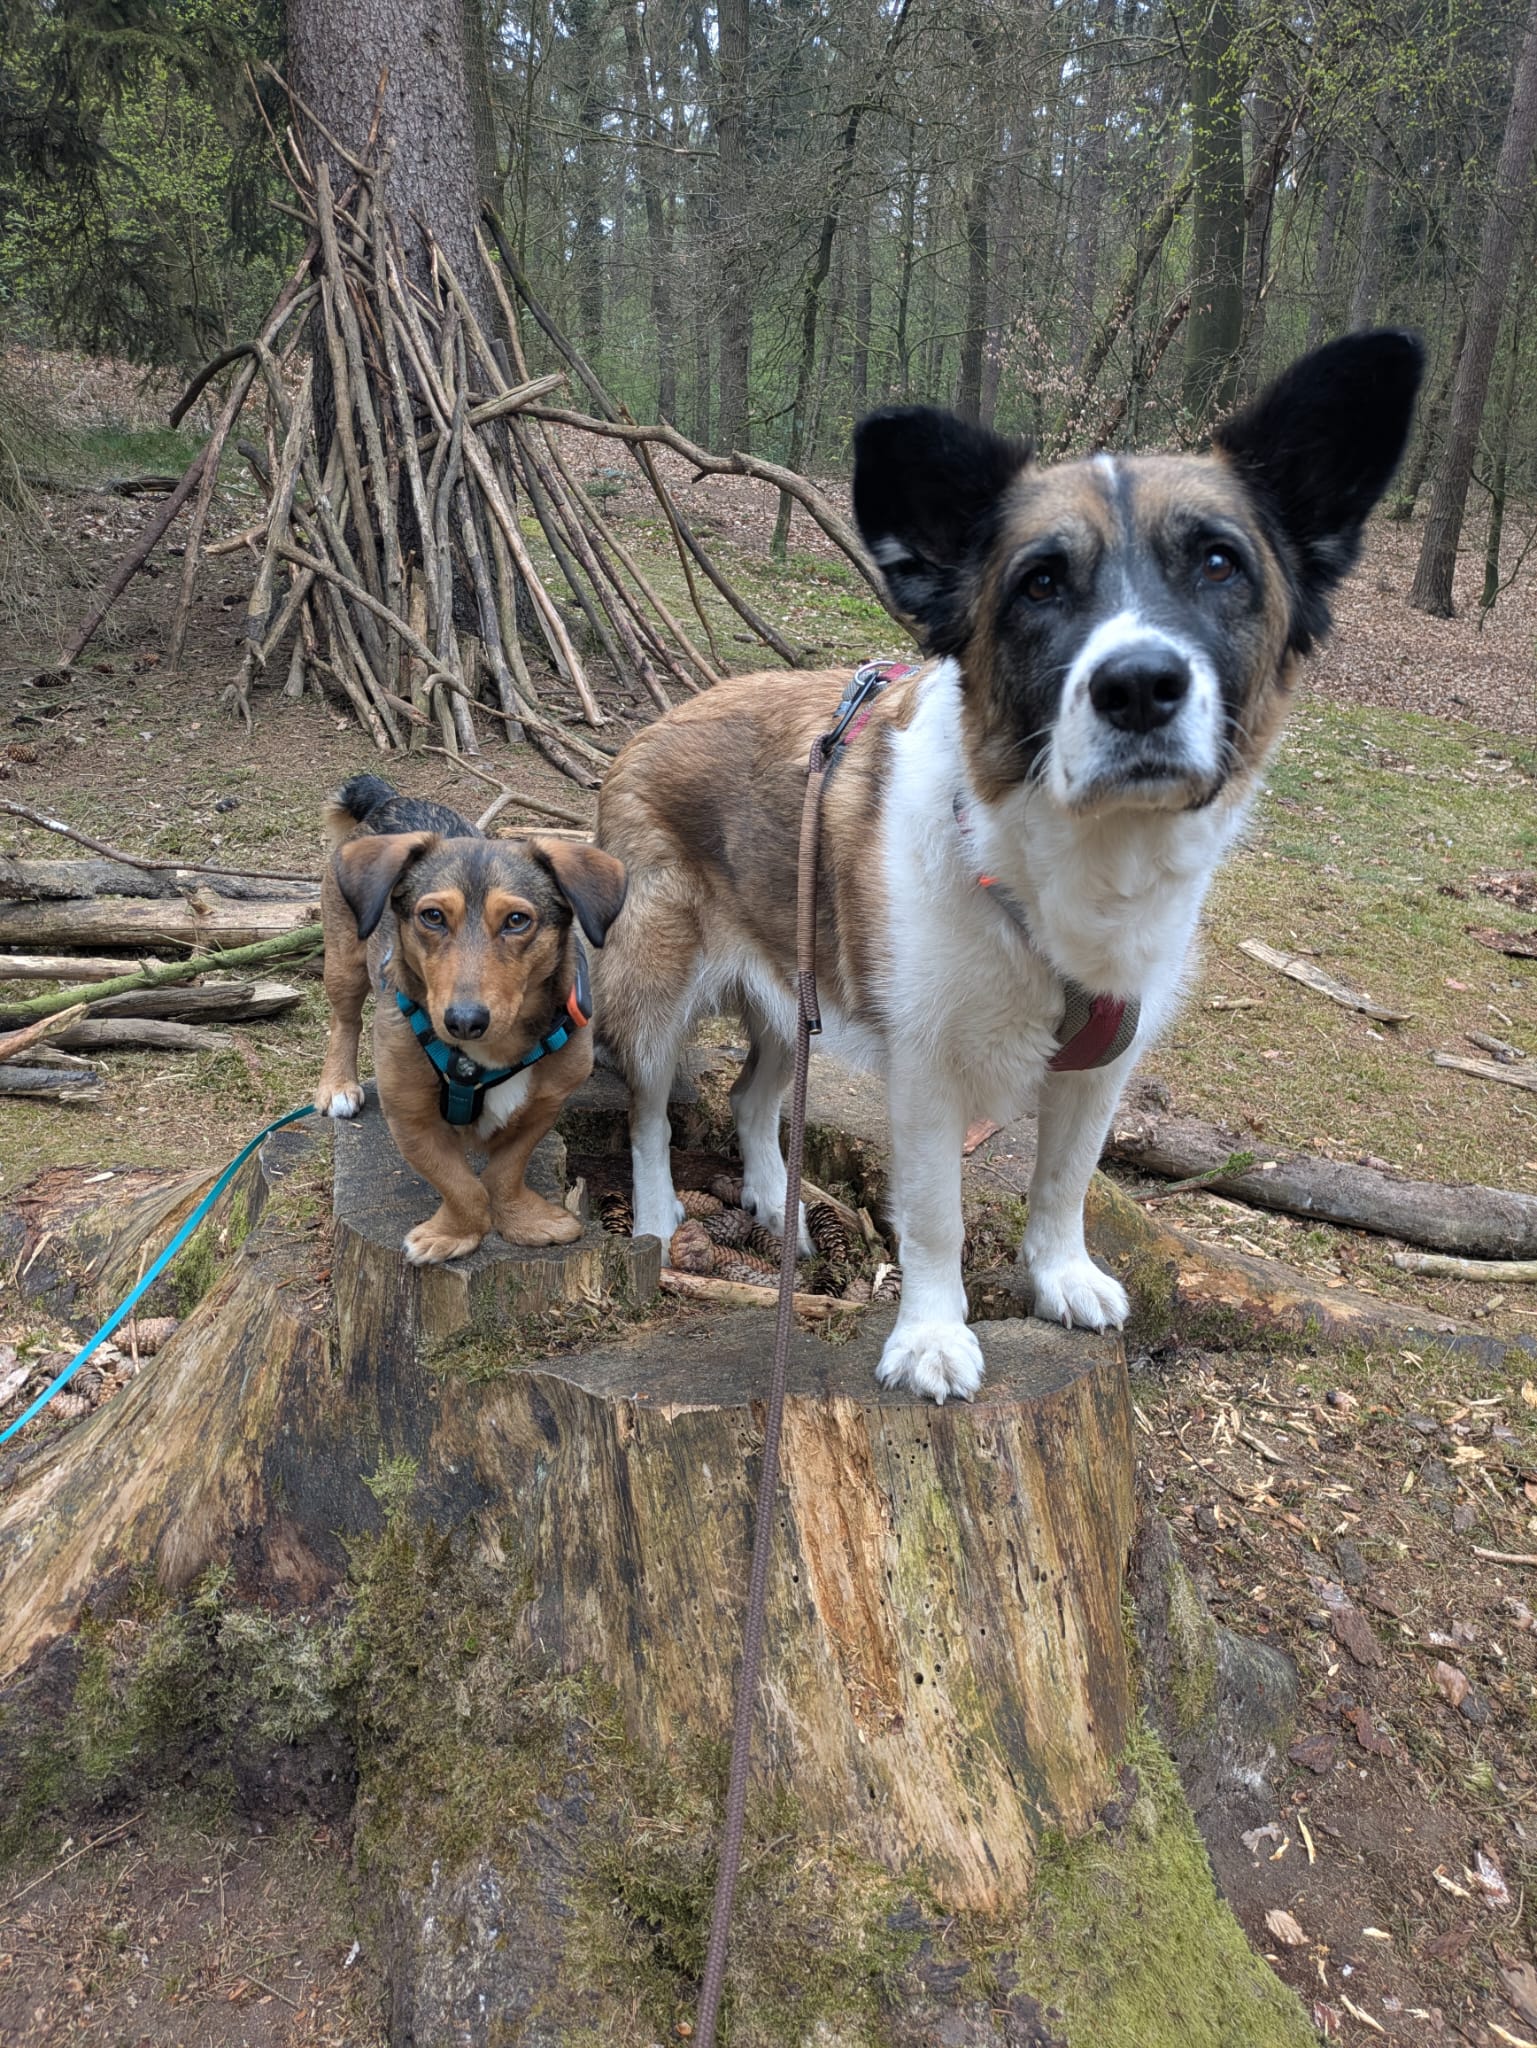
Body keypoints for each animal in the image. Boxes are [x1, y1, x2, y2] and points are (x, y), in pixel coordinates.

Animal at [315, 776, 627, 1264]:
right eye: (432, 916)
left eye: (517, 920)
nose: (464, 1021)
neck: (488, 1054)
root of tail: (390, 797)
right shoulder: (410, 1116)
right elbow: (459, 1184)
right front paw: (456, 1233)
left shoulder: (546, 1103)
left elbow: (504, 1171)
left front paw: (522, 1220)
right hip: (345, 960)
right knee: (344, 1023)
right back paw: (338, 1085)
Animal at [593, 330, 1424, 1402]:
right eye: (1039, 584)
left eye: (1217, 564)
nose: (1138, 687)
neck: (1066, 861)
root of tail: (654, 723)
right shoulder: (924, 1072)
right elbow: (933, 1216)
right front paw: (930, 1333)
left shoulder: (1103, 1062)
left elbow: (1063, 1181)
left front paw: (1057, 1276)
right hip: (655, 993)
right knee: (650, 1114)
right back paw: (659, 1221)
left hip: (796, 994)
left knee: (752, 1098)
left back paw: (778, 1209)